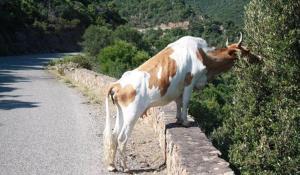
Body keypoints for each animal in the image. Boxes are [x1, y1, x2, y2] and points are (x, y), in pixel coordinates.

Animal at [102, 32, 258, 172]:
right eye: (248, 51)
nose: (259, 58)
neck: (204, 56)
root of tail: (117, 84)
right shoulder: (190, 81)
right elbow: (186, 101)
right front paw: (185, 121)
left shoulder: (179, 88)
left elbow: (178, 102)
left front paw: (178, 119)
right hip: (132, 114)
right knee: (122, 138)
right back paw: (126, 167)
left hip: (122, 113)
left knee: (114, 136)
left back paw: (112, 165)